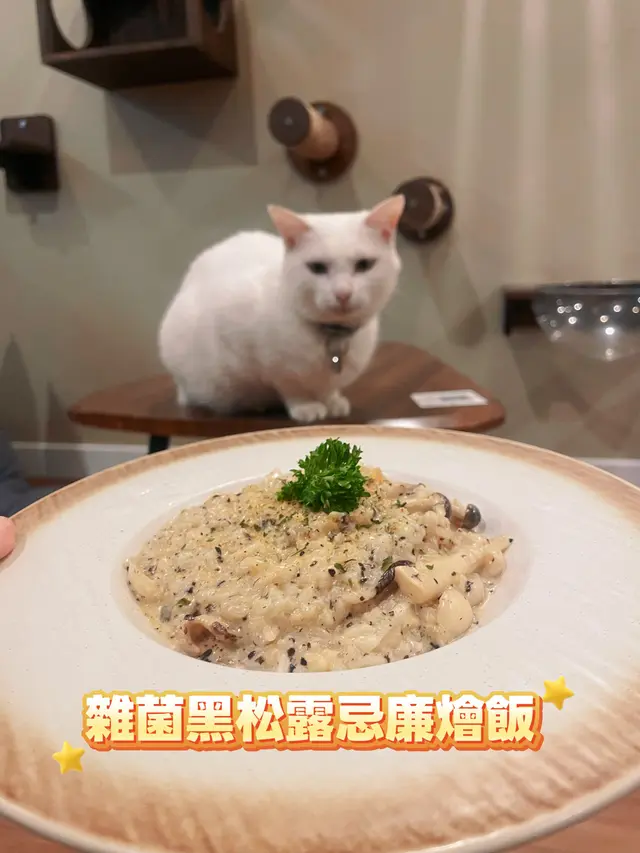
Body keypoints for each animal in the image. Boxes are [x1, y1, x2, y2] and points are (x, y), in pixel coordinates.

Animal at [158, 195, 405, 424]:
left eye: (364, 265)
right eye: (317, 267)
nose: (342, 293)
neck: (333, 335)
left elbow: (327, 388)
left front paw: (332, 400)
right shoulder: (261, 358)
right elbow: (290, 386)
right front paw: (306, 406)